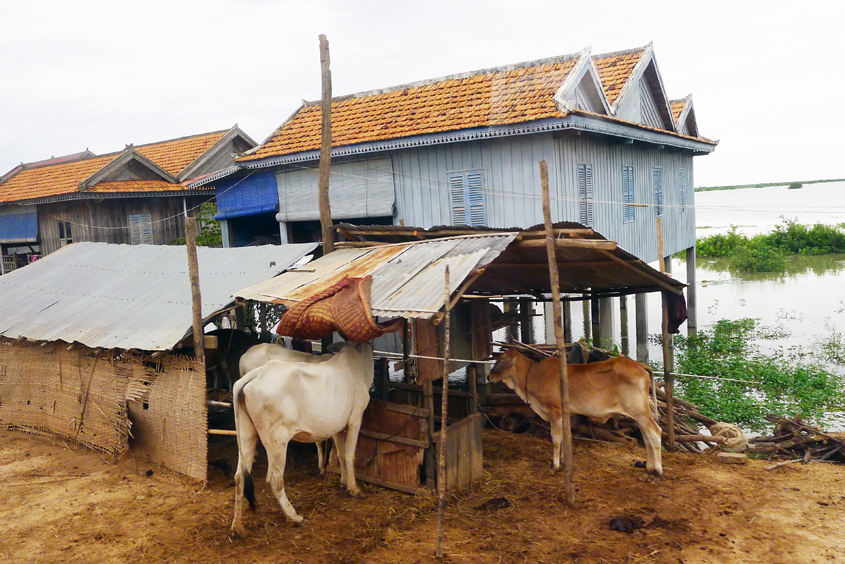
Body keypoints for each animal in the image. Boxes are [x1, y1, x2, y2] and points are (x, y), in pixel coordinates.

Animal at [232, 342, 374, 532]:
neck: (359, 366)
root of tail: (255, 375)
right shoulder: (355, 419)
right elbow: (350, 456)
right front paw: (354, 489)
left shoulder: (337, 426)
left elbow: (341, 455)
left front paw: (343, 481)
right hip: (277, 441)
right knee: (275, 479)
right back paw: (295, 517)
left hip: (246, 435)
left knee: (239, 477)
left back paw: (237, 526)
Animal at [488, 348, 660, 476]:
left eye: (502, 359)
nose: (489, 376)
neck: (534, 375)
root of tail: (638, 365)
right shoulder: (565, 414)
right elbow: (565, 436)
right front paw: (564, 461)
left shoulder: (555, 412)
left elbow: (556, 439)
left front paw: (555, 465)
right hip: (639, 414)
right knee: (646, 435)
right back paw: (649, 467)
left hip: (640, 411)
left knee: (655, 432)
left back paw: (657, 471)